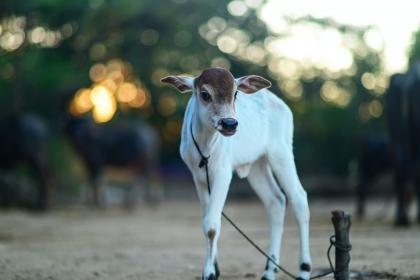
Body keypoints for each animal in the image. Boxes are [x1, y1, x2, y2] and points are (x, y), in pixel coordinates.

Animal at [162, 68, 310, 280]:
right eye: (205, 94)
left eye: (235, 94)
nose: (230, 123)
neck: (206, 145)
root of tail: (280, 104)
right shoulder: (198, 177)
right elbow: (207, 219)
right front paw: (214, 269)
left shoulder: (223, 174)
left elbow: (211, 225)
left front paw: (209, 273)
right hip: (257, 166)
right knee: (276, 201)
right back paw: (269, 271)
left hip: (281, 154)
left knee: (299, 199)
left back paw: (304, 270)